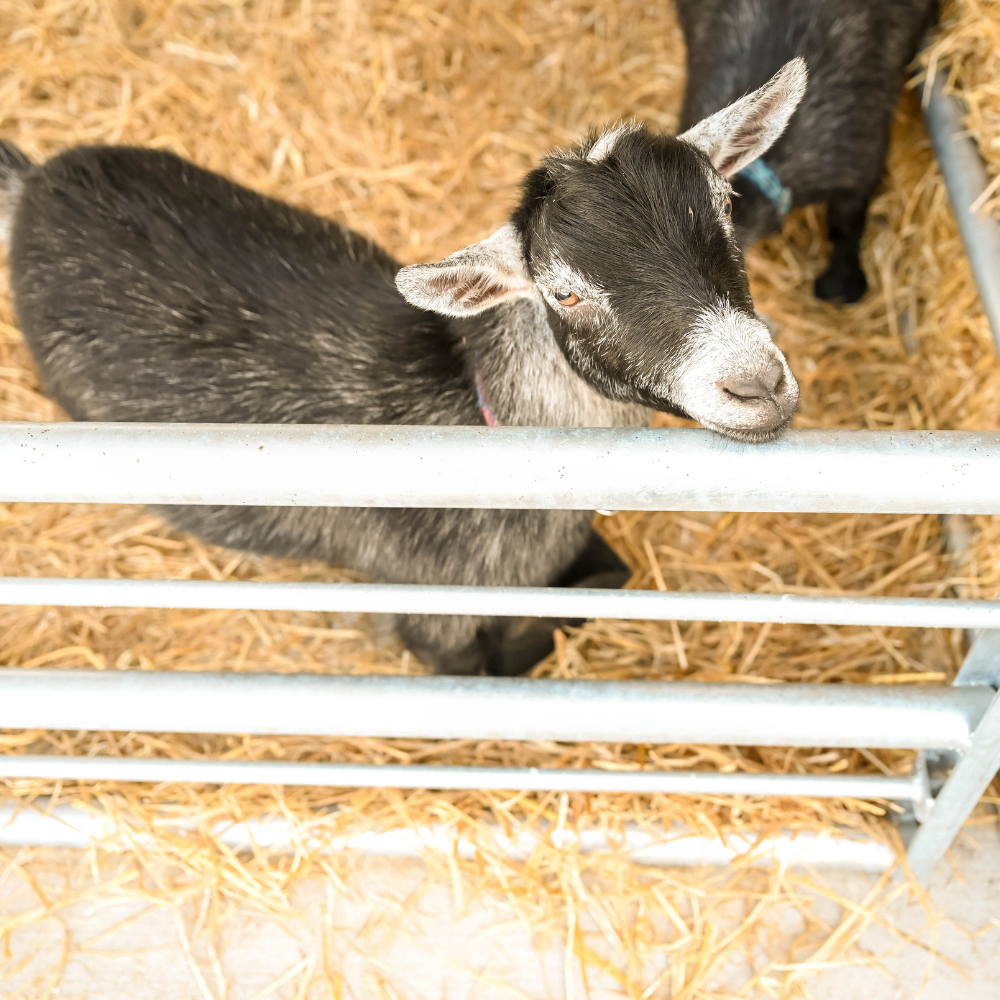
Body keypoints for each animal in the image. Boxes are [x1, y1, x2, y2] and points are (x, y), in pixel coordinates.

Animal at [0, 60, 806, 676]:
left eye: (726, 208)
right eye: (564, 292)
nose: (757, 384)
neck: (469, 414)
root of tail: (35, 182)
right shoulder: (435, 616)